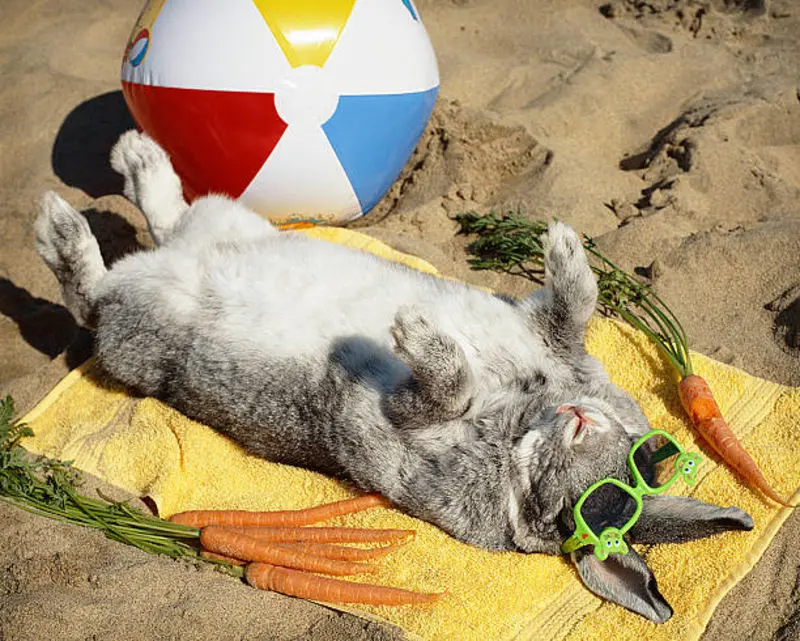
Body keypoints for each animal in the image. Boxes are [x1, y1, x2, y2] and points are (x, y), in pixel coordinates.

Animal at [34, 130, 753, 623]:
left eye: (592, 507)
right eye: (643, 457)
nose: (579, 420)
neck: (522, 422)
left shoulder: (406, 423)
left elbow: (447, 384)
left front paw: (412, 330)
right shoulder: (546, 337)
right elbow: (575, 304)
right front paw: (562, 241)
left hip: (142, 325)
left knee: (92, 294)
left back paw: (59, 226)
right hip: (224, 225)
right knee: (168, 217)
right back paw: (136, 158)